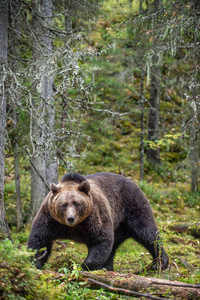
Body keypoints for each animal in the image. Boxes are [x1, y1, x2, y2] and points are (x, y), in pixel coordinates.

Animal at [27, 172, 169, 270]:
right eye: (64, 204)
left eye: (76, 203)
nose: (70, 218)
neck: (74, 226)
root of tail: (133, 182)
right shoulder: (50, 219)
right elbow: (39, 240)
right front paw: (35, 263)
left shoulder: (94, 217)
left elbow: (101, 239)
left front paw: (84, 266)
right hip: (118, 226)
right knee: (114, 245)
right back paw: (108, 267)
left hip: (132, 207)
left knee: (147, 233)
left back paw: (160, 263)